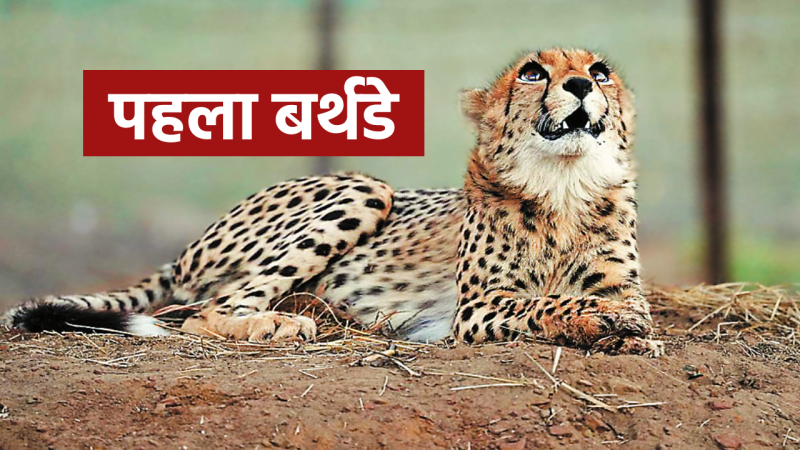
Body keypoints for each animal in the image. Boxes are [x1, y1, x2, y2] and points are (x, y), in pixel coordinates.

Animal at [2, 48, 662, 355]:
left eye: (600, 71)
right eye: (531, 73)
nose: (579, 85)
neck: (564, 186)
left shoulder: (624, 289)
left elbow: (621, 312)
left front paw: (621, 330)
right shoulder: (474, 310)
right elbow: (545, 303)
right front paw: (598, 321)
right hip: (365, 189)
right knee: (204, 311)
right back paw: (277, 323)